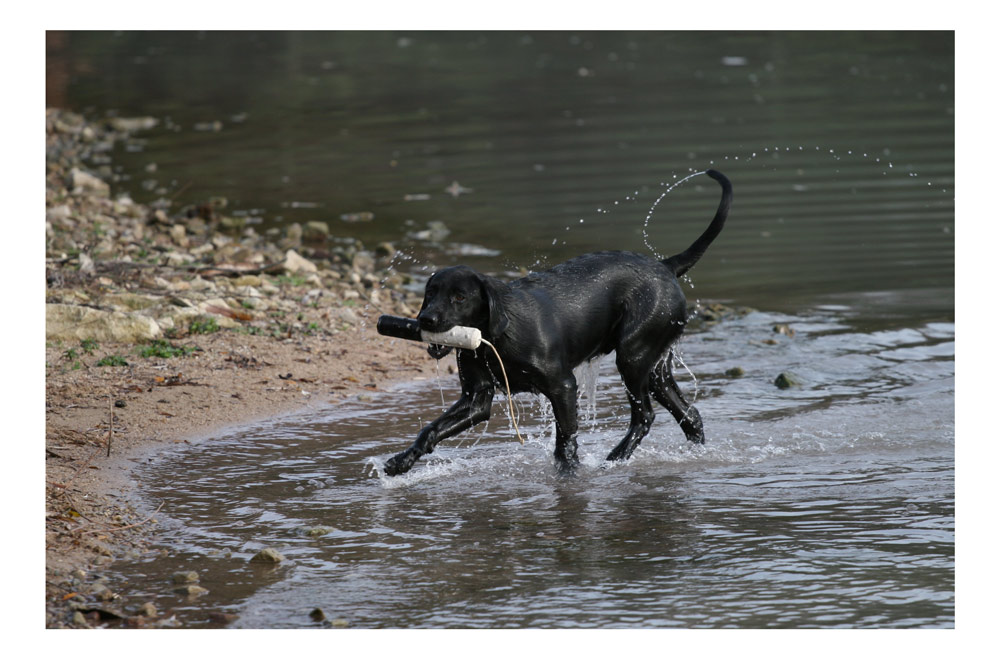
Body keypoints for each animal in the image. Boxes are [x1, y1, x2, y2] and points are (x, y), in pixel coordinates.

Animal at [382, 169, 736, 480]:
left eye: (459, 297)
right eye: (430, 293)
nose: (426, 319)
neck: (495, 336)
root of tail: (666, 266)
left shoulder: (563, 386)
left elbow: (565, 439)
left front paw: (569, 474)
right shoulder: (476, 399)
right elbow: (431, 430)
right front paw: (401, 462)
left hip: (633, 357)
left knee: (645, 416)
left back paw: (615, 458)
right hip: (655, 367)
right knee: (689, 415)